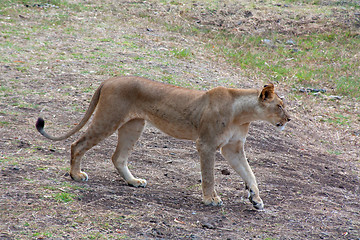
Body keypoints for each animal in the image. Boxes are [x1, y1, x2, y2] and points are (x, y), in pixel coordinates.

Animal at [35, 76, 290, 209]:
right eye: (279, 105)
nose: (289, 119)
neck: (243, 114)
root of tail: (111, 78)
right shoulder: (206, 144)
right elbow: (209, 176)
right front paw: (211, 199)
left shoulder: (233, 148)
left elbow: (250, 173)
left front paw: (256, 198)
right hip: (108, 119)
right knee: (77, 145)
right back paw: (76, 175)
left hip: (133, 125)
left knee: (118, 157)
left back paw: (134, 182)